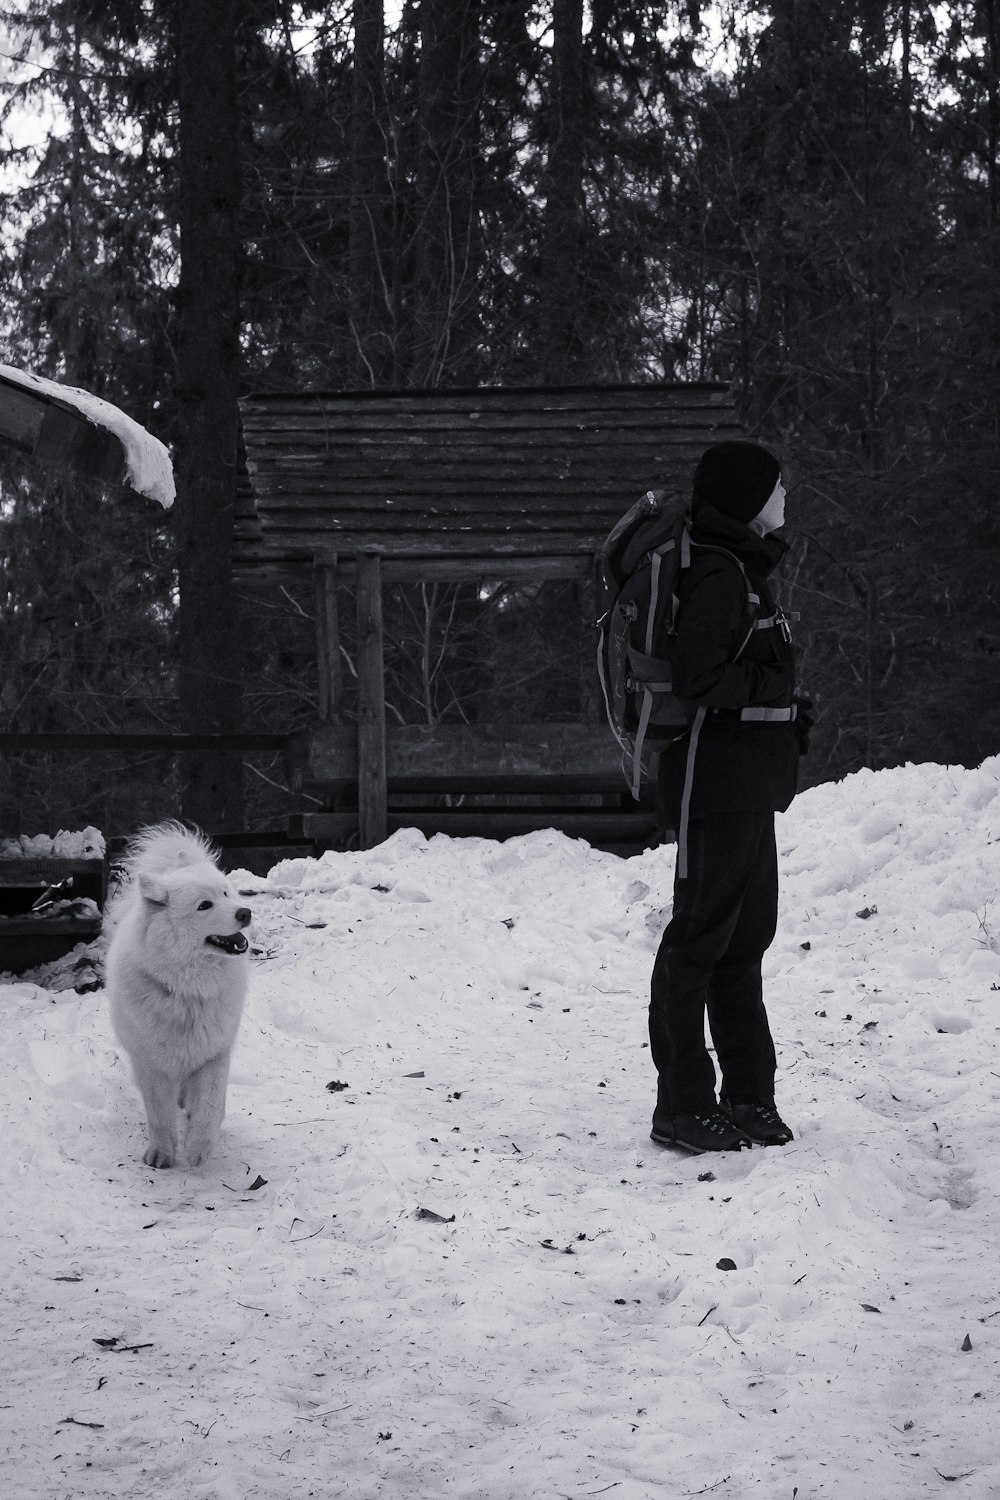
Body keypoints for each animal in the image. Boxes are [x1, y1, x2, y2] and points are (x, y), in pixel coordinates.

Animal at [104, 828, 251, 1164]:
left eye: (225, 894)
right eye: (204, 905)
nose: (245, 912)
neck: (188, 991)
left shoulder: (213, 1054)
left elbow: (209, 1105)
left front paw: (199, 1147)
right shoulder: (152, 1065)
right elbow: (159, 1114)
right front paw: (162, 1153)